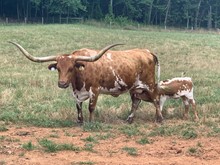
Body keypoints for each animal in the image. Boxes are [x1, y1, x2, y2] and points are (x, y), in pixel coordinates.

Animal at [9, 42, 162, 123]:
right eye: (58, 68)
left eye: (71, 68)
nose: (62, 83)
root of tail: (147, 51)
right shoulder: (76, 93)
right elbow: (78, 107)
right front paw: (79, 121)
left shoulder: (95, 90)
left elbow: (91, 107)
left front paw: (90, 122)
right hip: (134, 88)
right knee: (136, 102)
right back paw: (129, 120)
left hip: (149, 84)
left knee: (155, 99)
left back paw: (159, 119)